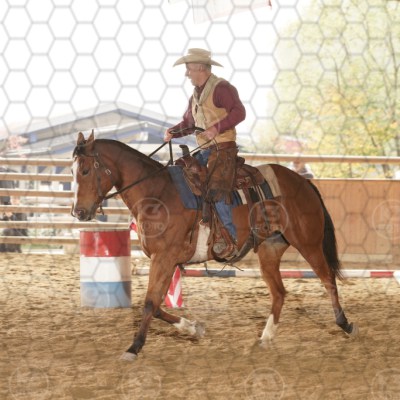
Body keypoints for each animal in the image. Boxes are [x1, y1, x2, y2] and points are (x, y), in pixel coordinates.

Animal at [71, 131, 358, 361]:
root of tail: (303, 181)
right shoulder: (165, 260)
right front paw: (193, 328)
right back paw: (265, 338)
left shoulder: (164, 258)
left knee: (328, 278)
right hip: (270, 249)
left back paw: (345, 324)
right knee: (279, 292)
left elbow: (150, 303)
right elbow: (158, 305)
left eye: (85, 170)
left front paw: (134, 348)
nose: (79, 212)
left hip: (308, 243)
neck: (156, 193)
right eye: (72, 172)